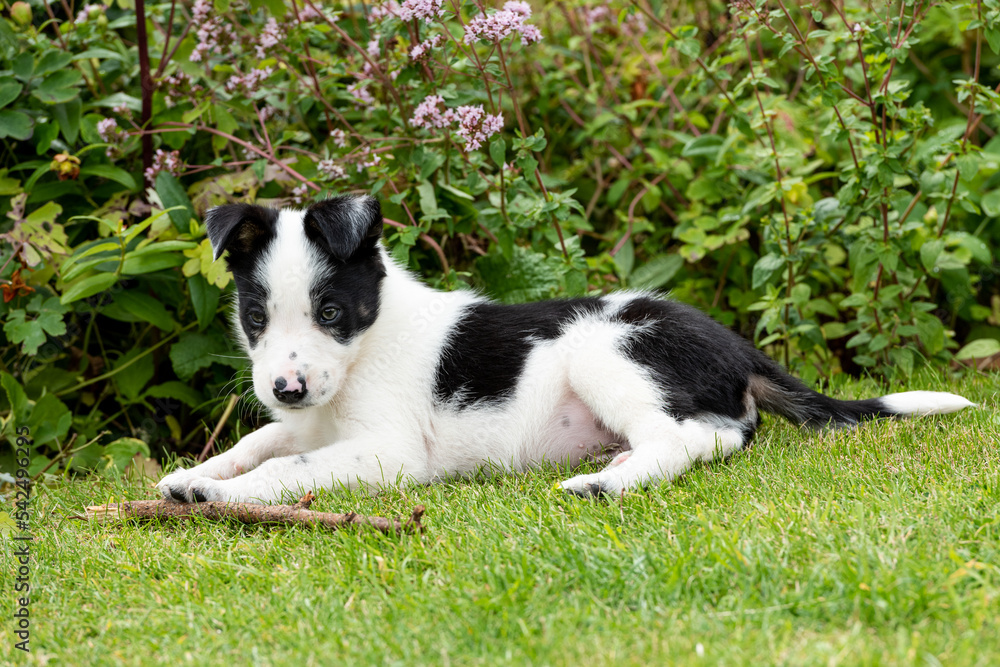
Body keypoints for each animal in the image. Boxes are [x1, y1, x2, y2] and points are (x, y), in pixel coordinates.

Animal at [156, 196, 968, 504]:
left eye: (329, 311)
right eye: (255, 316)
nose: (287, 387)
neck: (367, 342)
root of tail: (735, 344)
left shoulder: (388, 451)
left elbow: (286, 467)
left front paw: (220, 495)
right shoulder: (306, 423)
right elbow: (258, 442)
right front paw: (194, 473)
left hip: (605, 351)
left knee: (689, 440)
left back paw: (606, 484)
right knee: (715, 433)